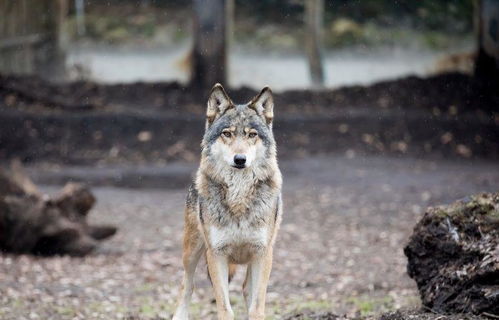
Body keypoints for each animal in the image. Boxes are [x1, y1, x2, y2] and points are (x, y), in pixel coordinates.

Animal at [172, 84, 284, 318]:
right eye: (227, 134)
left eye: (252, 135)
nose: (240, 159)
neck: (238, 197)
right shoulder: (216, 254)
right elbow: (225, 308)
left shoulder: (263, 253)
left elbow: (257, 307)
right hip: (191, 251)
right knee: (187, 285)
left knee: (246, 289)